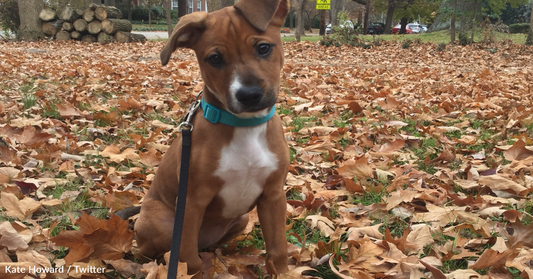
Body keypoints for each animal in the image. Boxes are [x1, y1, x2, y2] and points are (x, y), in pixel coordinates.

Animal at [135, 0, 288, 276]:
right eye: (215, 59)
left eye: (263, 48)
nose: (249, 95)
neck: (244, 126)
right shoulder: (192, 202)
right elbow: (188, 259)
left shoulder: (273, 196)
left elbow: (278, 250)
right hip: (159, 220)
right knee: (164, 250)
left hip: (241, 219)